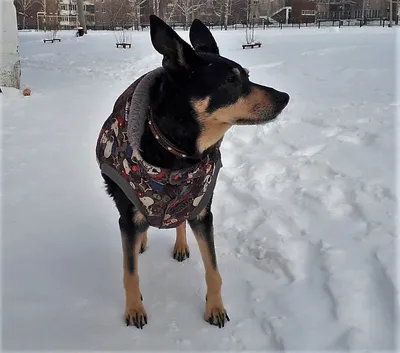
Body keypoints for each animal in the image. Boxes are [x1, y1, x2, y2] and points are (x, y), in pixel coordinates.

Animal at [97, 13, 290, 328]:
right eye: (230, 80)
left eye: (247, 75)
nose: (284, 97)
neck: (179, 156)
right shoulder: (127, 215)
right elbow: (130, 272)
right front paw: (134, 309)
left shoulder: (201, 208)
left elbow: (213, 269)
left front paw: (215, 307)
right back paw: (141, 242)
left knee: (179, 220)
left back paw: (180, 245)